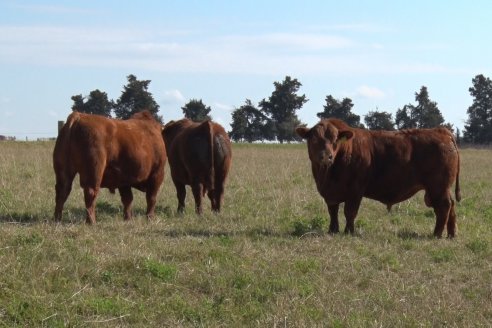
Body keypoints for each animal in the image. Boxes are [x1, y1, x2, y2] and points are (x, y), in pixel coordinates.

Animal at [296, 119, 462, 237]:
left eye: (335, 139)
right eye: (314, 139)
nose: (326, 156)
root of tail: (440, 131)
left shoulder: (355, 190)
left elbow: (350, 212)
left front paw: (349, 232)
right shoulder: (331, 194)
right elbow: (333, 212)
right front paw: (333, 230)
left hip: (438, 187)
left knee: (444, 206)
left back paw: (437, 234)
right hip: (441, 189)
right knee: (451, 206)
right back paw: (451, 234)